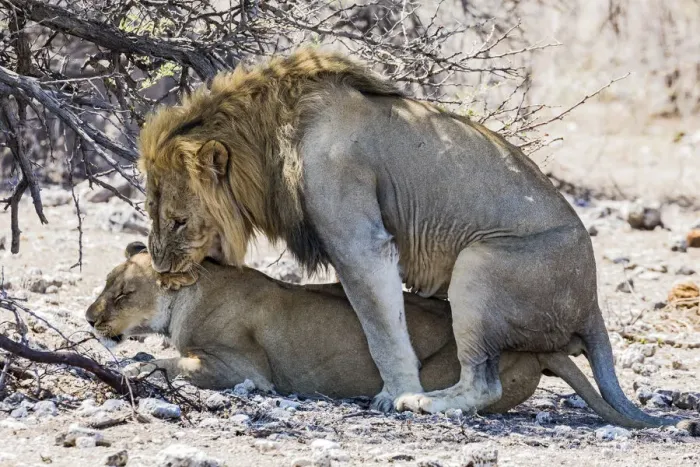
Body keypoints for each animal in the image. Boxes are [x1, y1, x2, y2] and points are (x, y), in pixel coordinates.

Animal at [85, 242, 698, 432]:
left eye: (122, 293)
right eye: (106, 285)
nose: (90, 318)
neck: (191, 292)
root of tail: (538, 347)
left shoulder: (244, 371)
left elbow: (166, 359)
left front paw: (141, 362)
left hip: (455, 361)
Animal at [138, 49, 647, 418]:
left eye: (179, 221)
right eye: (150, 211)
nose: (159, 265)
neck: (270, 139)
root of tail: (592, 303)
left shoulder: (360, 241)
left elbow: (382, 329)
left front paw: (393, 392)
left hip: (480, 266)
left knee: (484, 383)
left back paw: (424, 401)